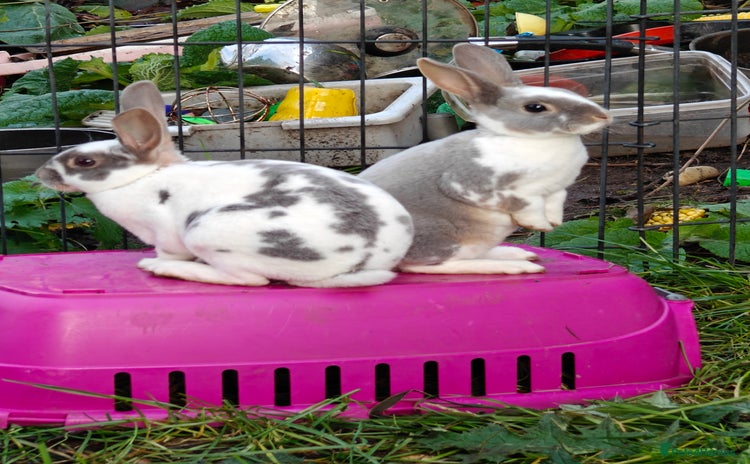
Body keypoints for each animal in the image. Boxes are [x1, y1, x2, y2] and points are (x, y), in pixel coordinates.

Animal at [35, 80, 414, 288]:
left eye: (85, 162)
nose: (41, 174)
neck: (143, 178)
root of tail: (371, 257)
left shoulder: (166, 234)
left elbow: (167, 248)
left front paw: (157, 261)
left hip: (208, 232)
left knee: (252, 280)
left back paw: (166, 269)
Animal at [359, 43, 612, 275]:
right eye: (535, 107)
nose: (603, 116)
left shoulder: (557, 189)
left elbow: (555, 202)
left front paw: (553, 222)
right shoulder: (473, 185)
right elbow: (524, 204)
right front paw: (538, 224)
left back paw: (515, 253)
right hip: (437, 233)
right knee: (424, 265)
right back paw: (512, 265)